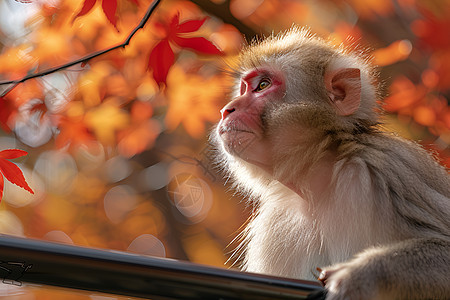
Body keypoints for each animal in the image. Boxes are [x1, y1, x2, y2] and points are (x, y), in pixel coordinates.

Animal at [212, 26, 450, 300]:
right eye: (244, 88)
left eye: (262, 85)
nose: (227, 110)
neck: (314, 186)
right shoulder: (276, 224)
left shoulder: (382, 173)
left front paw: (360, 275)